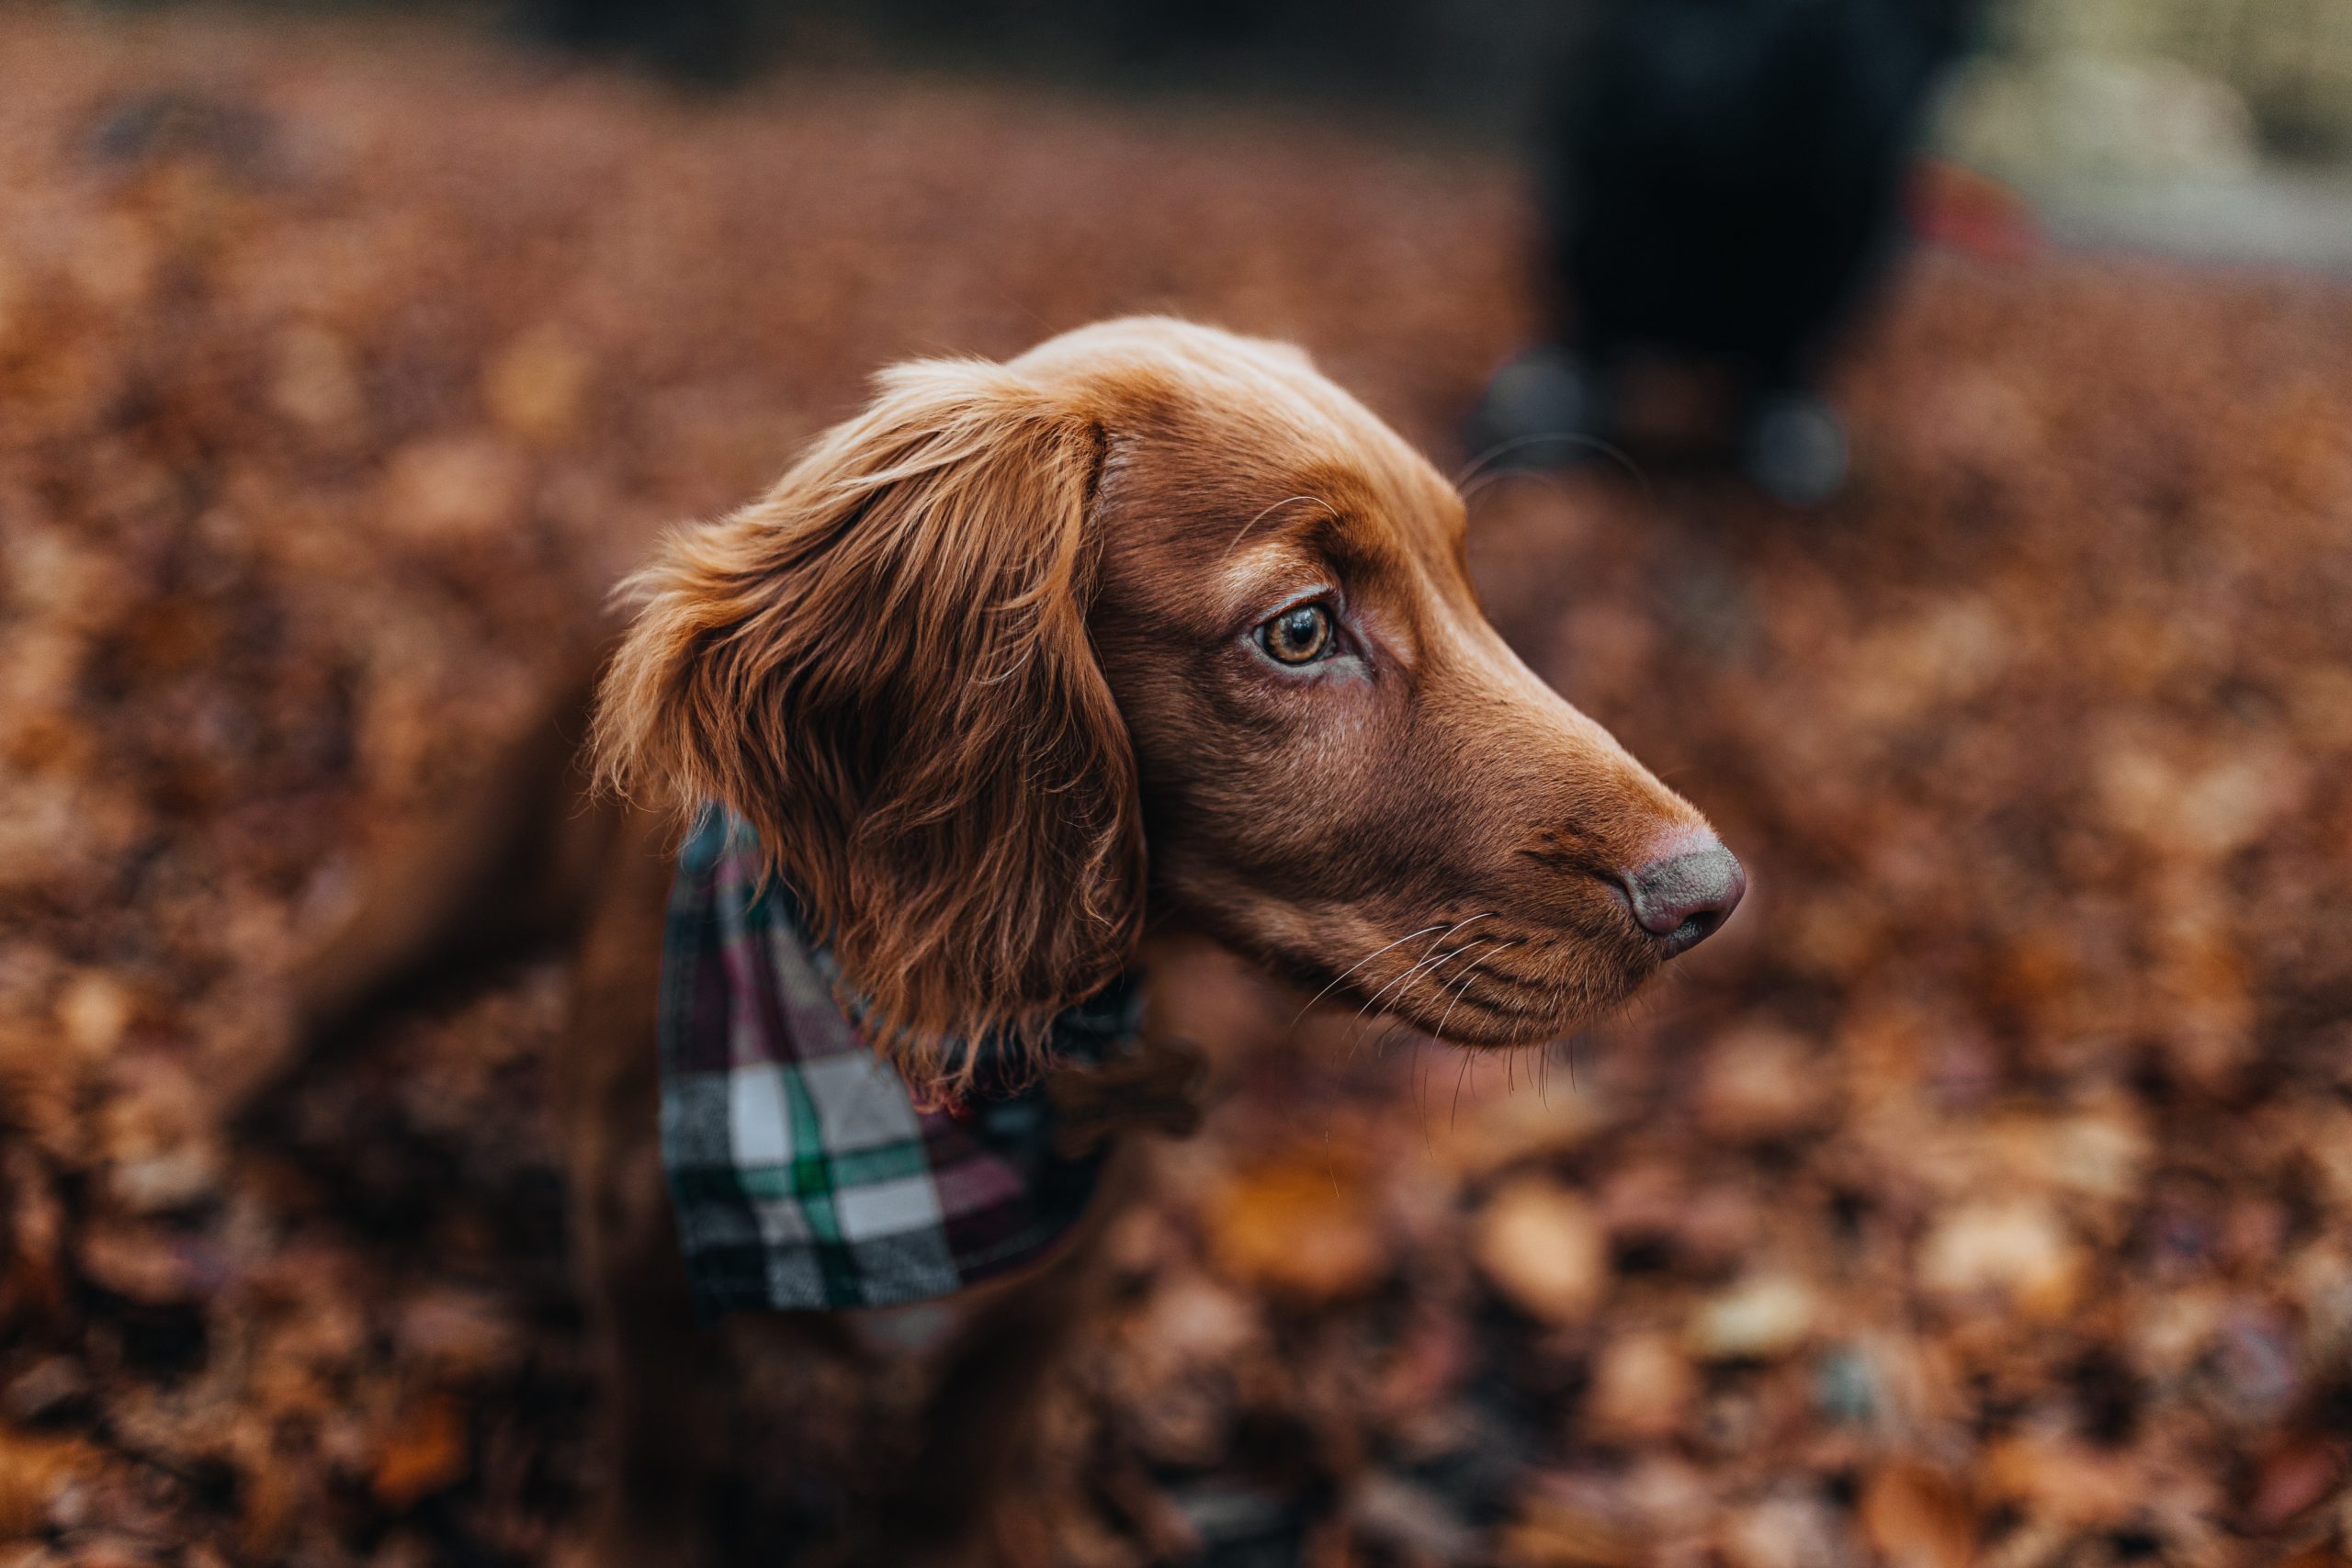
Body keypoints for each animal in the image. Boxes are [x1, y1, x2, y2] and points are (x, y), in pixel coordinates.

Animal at [284, 321, 1740, 1568]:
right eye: (1300, 629)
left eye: (1465, 584)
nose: (1712, 895)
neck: (940, 1051)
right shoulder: (636, 1240)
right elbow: (659, 1448)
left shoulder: (1053, 1291)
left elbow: (958, 1466)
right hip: (455, 889)